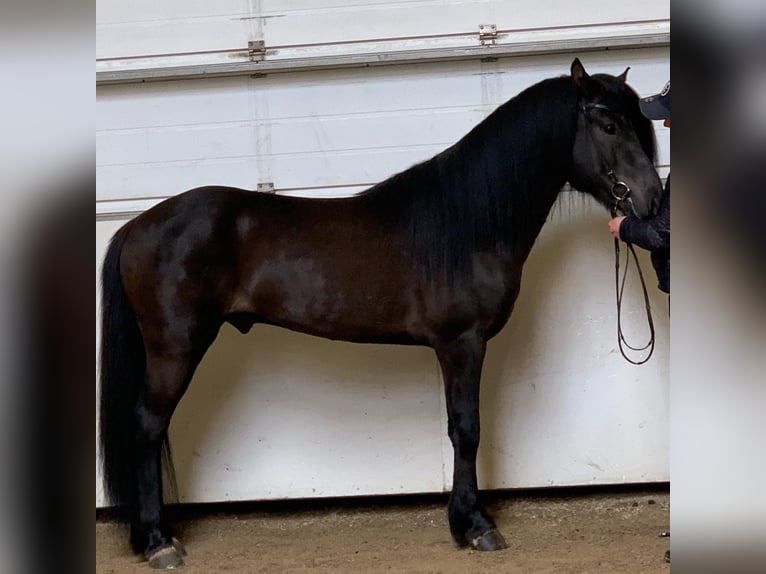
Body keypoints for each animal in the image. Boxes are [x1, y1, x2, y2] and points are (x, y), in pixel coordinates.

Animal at [98, 58, 662, 569]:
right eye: (608, 125)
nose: (652, 200)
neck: (467, 225)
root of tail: (137, 226)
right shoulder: (461, 343)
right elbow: (467, 429)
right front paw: (476, 526)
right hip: (175, 347)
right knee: (147, 426)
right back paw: (159, 542)